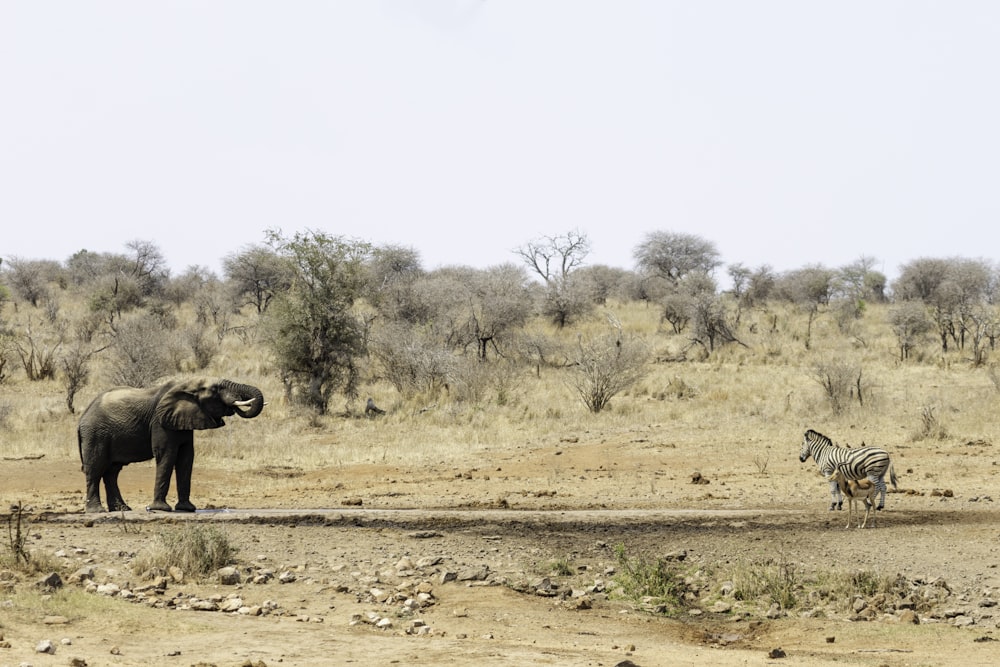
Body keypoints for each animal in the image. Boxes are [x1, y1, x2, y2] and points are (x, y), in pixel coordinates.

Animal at [78, 378, 264, 516]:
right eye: (216, 389)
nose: (234, 405)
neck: (185, 384)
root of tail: (82, 417)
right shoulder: (160, 422)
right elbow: (167, 455)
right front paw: (161, 509)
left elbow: (186, 458)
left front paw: (187, 509)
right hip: (95, 435)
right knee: (95, 469)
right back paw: (97, 511)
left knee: (112, 472)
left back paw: (122, 509)